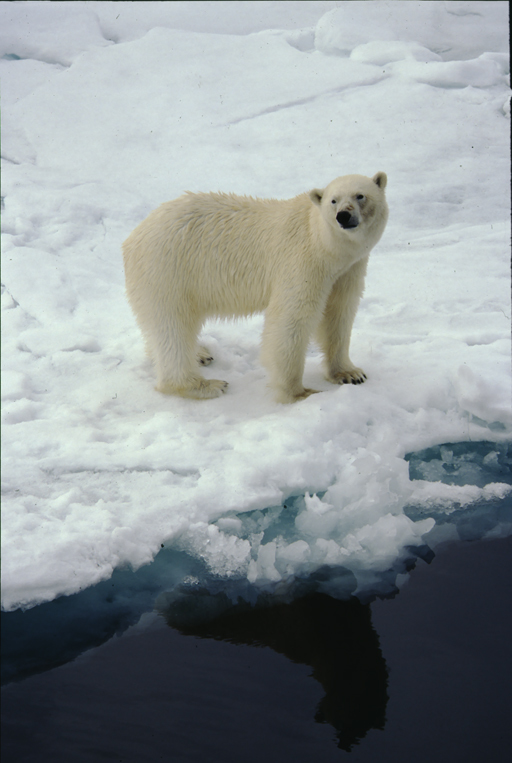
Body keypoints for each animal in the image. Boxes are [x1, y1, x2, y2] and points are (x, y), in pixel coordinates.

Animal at [123, 170, 388, 402]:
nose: (343, 216)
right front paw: (300, 393)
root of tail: (132, 237)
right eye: (334, 200)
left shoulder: (348, 270)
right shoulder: (302, 263)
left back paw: (200, 353)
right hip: (169, 273)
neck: (322, 243)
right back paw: (206, 384)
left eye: (360, 195)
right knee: (172, 328)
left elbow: (339, 313)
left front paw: (350, 373)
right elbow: (291, 319)